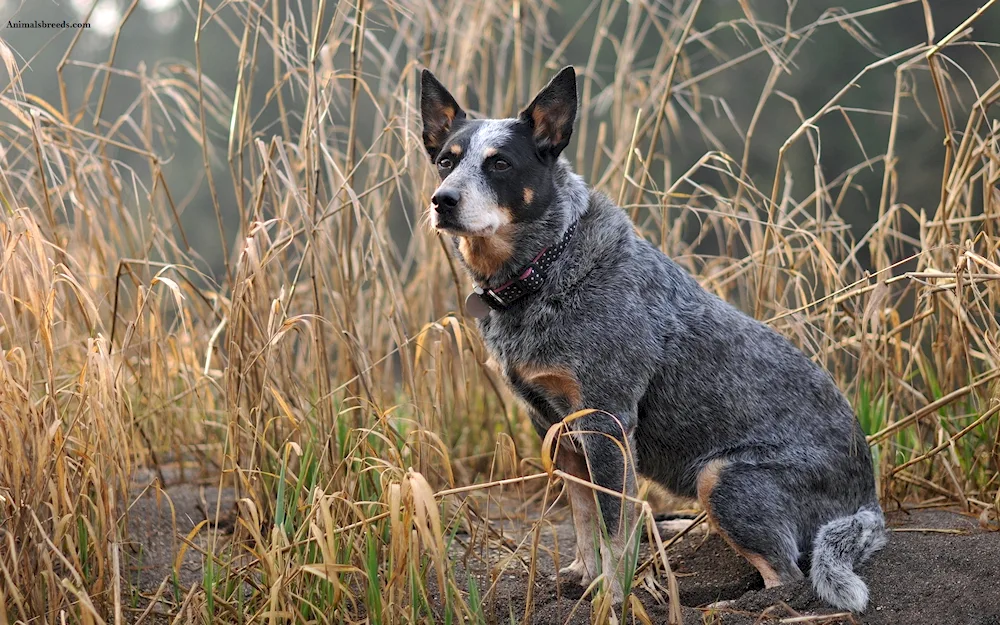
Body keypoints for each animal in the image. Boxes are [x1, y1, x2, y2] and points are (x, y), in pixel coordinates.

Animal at [418, 66, 888, 612]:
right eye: (446, 161)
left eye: (499, 163)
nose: (443, 200)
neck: (547, 267)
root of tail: (869, 500)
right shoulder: (553, 424)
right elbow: (583, 517)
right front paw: (583, 577)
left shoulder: (606, 420)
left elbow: (614, 527)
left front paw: (612, 597)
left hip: (721, 477)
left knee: (788, 575)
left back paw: (734, 606)